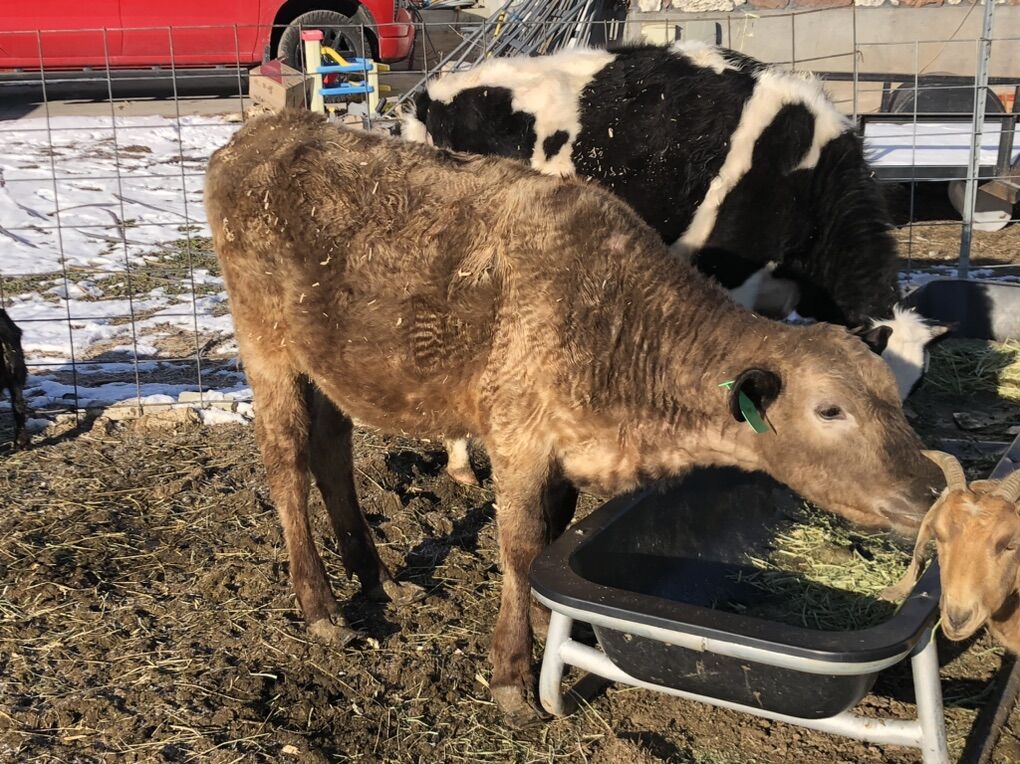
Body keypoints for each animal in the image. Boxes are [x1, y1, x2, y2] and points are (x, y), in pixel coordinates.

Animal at [206, 110, 942, 725]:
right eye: (830, 409)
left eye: (896, 396)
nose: (931, 486)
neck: (619, 328)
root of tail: (259, 133)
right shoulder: (518, 439)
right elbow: (521, 547)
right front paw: (512, 675)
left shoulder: (563, 453)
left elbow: (548, 545)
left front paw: (545, 625)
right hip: (267, 349)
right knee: (287, 463)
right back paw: (320, 605)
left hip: (334, 362)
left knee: (332, 452)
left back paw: (377, 576)